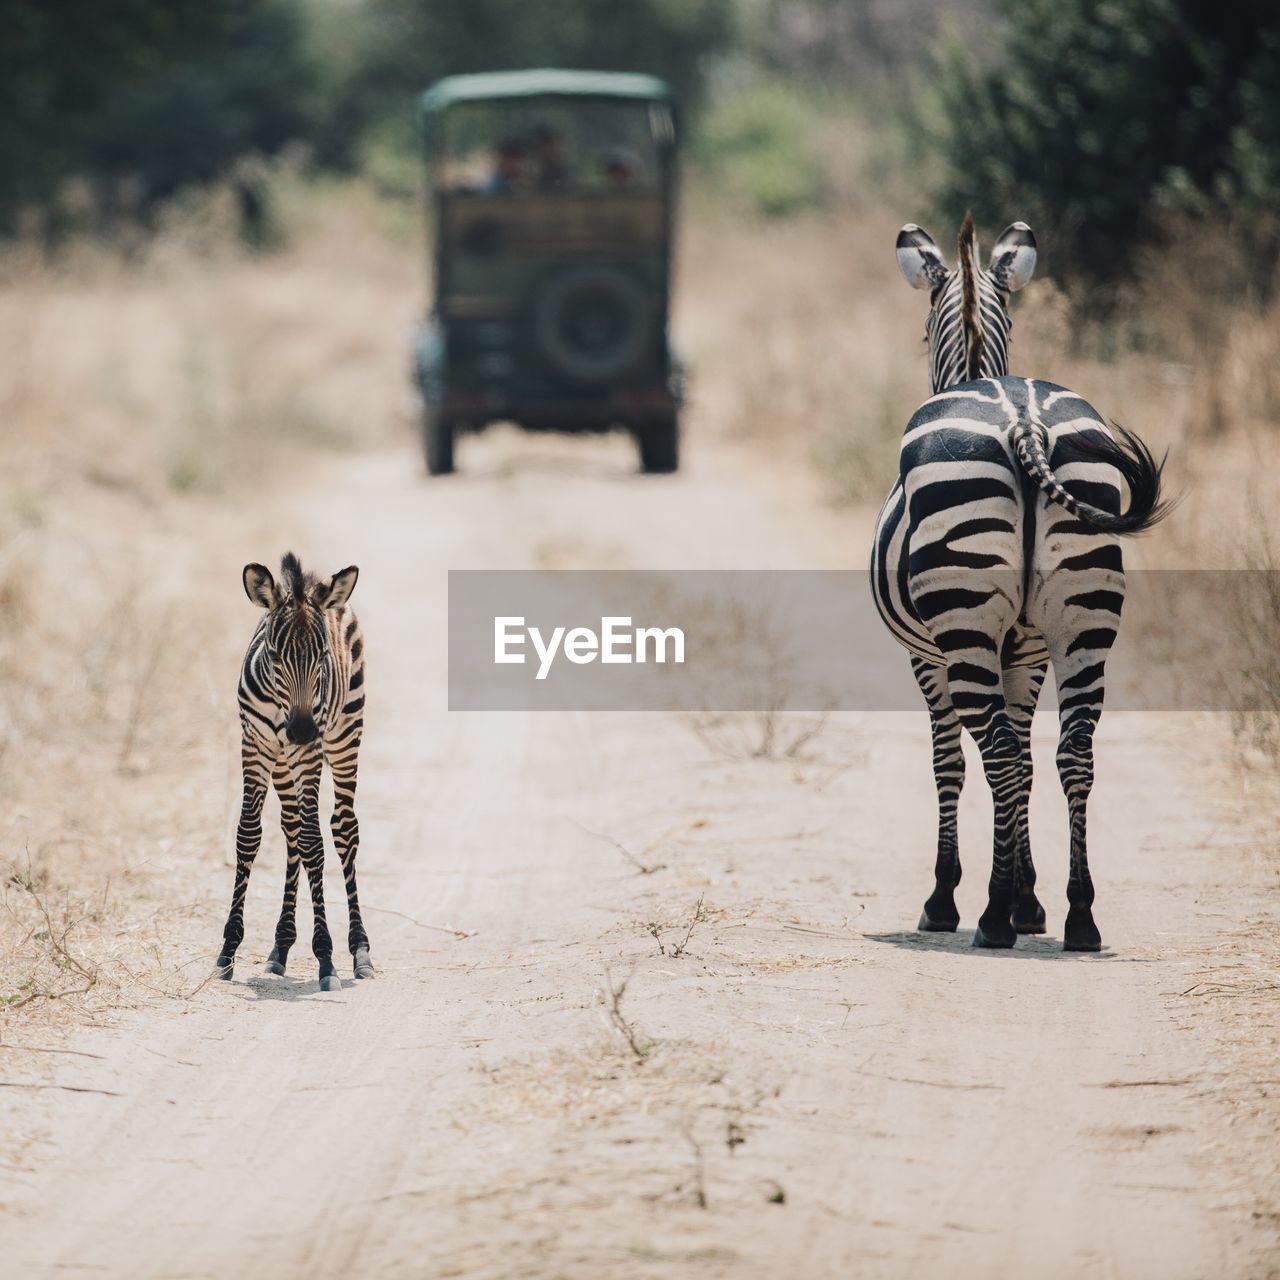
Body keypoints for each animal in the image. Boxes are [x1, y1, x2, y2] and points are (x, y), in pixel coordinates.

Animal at [213, 552, 371, 988]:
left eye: (322, 657)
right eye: (274, 655)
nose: (301, 730)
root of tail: (317, 581)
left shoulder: (309, 753)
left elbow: (316, 844)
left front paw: (326, 958)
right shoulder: (254, 743)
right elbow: (249, 835)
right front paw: (227, 950)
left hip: (344, 736)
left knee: (342, 828)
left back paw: (360, 952)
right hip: (283, 761)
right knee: (292, 830)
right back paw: (280, 947)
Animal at [870, 212, 1172, 952]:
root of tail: (1025, 423)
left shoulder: (927, 656)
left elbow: (952, 762)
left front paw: (955, 898)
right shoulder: (1030, 652)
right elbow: (1033, 763)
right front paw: (1032, 900)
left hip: (966, 624)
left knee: (1000, 754)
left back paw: (989, 917)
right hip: (1084, 618)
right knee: (1074, 753)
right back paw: (1081, 915)